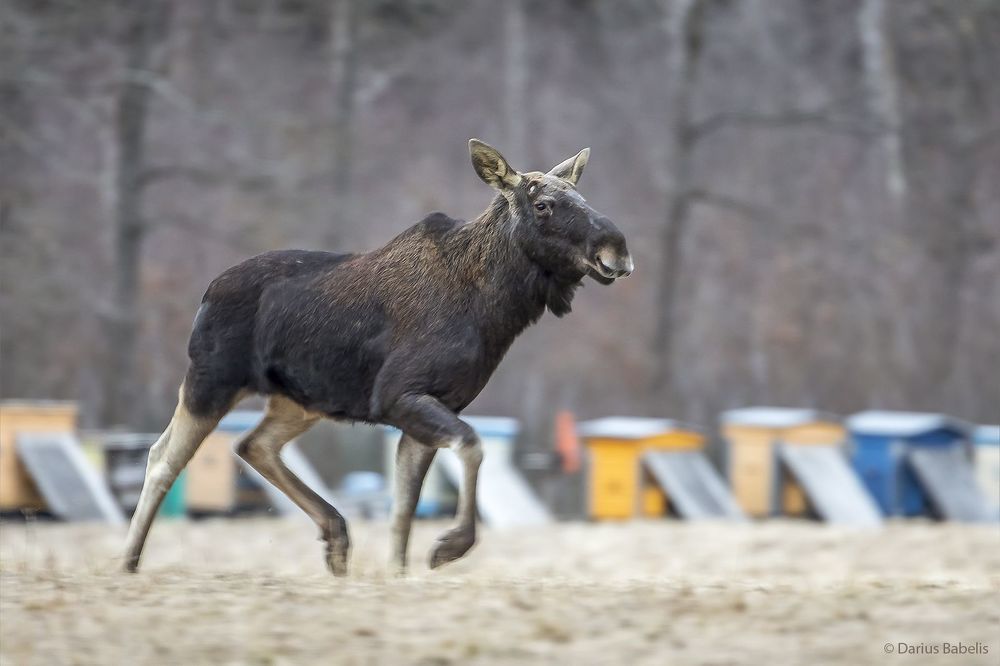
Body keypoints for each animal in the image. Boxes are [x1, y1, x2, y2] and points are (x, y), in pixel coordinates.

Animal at [122, 139, 633, 576]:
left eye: (581, 197)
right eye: (543, 204)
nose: (617, 249)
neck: (493, 309)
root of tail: (206, 293)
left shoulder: (429, 407)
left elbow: (404, 509)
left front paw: (398, 574)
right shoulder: (398, 396)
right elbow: (471, 446)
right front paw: (449, 546)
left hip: (299, 400)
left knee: (253, 445)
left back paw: (336, 536)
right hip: (210, 380)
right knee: (162, 457)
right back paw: (128, 562)